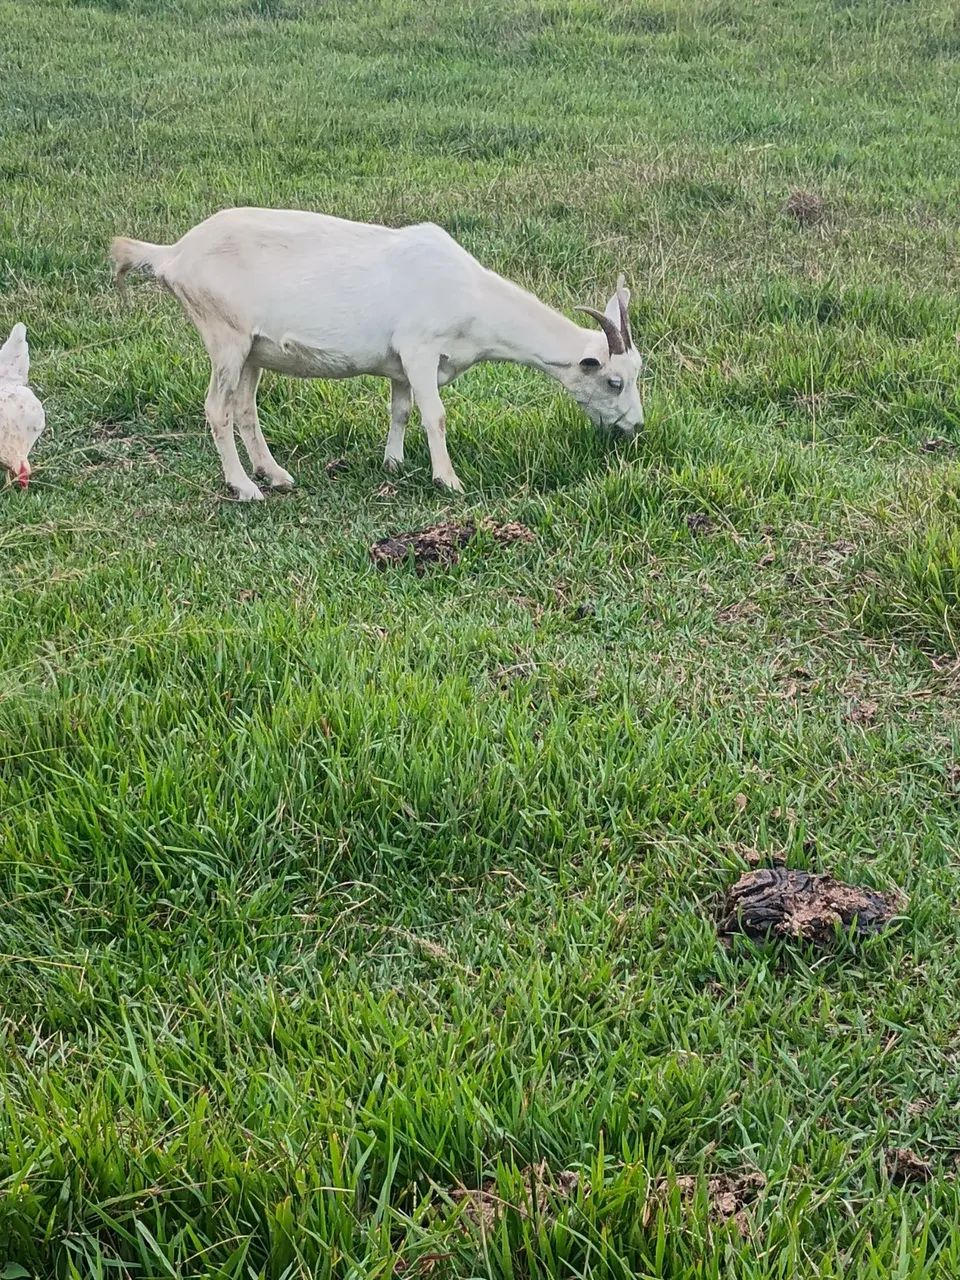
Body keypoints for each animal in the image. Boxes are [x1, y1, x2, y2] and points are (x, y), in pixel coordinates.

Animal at [111, 208, 644, 500]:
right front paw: (448, 480)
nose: (637, 427)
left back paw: (275, 474)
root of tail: (172, 255)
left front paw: (393, 463)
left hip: (252, 351)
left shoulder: (402, 364)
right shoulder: (421, 348)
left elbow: (401, 409)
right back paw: (245, 487)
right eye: (612, 380)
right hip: (226, 335)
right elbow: (435, 415)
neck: (469, 294)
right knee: (217, 409)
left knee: (244, 408)